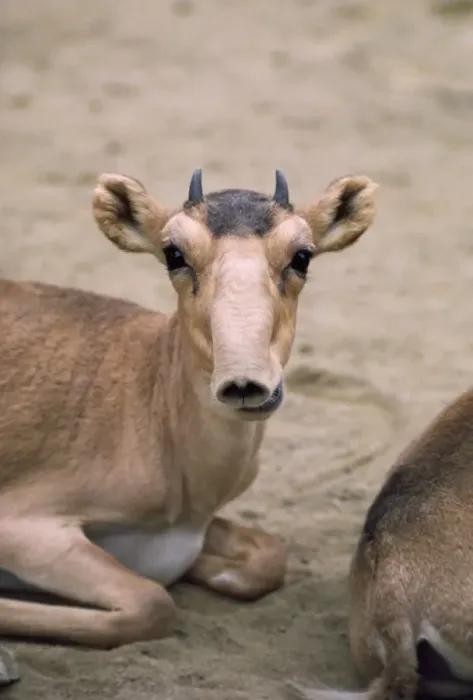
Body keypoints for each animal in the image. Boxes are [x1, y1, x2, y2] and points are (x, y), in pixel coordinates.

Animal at [0, 168, 377, 657]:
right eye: (173, 252)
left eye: (303, 255)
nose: (244, 384)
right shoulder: (24, 528)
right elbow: (153, 602)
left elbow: (268, 556)